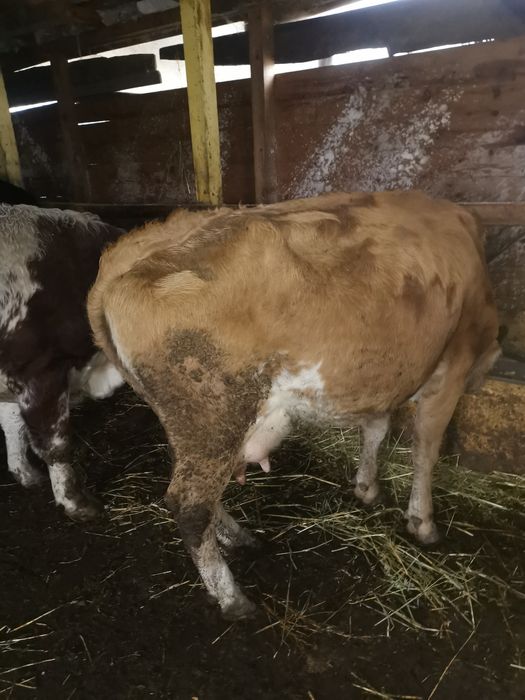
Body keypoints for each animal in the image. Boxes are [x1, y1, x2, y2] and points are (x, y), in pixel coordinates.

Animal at [87, 191, 500, 620]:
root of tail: (120, 265)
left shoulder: (382, 377)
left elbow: (375, 429)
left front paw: (367, 487)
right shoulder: (452, 368)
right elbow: (425, 450)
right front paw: (423, 523)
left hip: (190, 425)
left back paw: (239, 537)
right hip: (213, 419)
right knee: (189, 505)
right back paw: (232, 598)